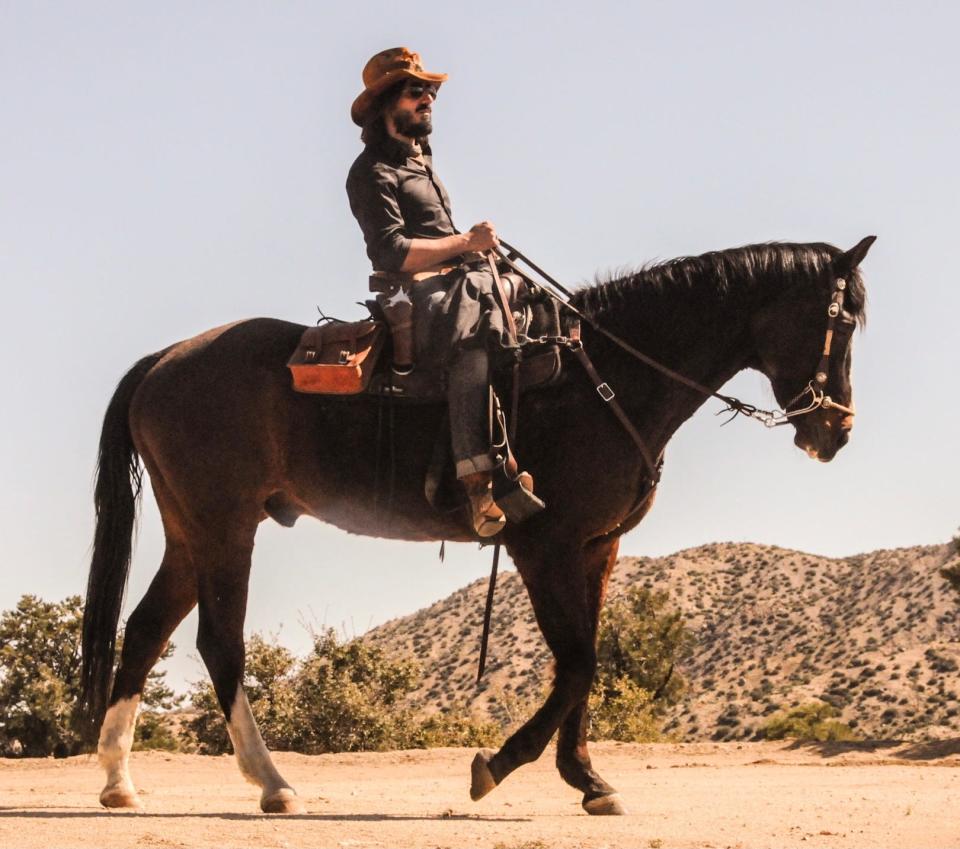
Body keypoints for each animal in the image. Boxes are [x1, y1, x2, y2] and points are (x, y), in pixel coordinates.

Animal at [77, 234, 872, 816]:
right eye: (838, 321)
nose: (834, 432)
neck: (605, 377)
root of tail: (163, 361)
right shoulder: (543, 544)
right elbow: (577, 662)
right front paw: (497, 764)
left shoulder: (598, 549)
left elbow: (584, 663)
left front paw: (588, 780)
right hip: (224, 529)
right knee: (219, 643)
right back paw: (273, 783)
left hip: (192, 531)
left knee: (144, 630)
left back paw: (119, 781)